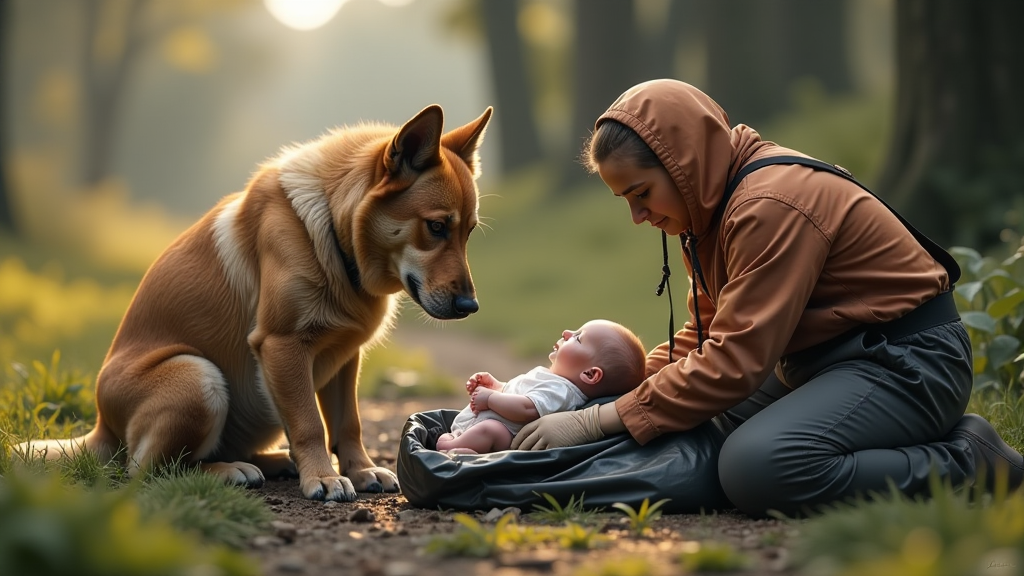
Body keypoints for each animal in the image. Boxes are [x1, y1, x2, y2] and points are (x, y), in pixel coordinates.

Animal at [18, 105, 491, 500]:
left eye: (468, 232)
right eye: (435, 227)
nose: (471, 306)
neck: (331, 232)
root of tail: (101, 428)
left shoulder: (346, 357)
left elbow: (348, 423)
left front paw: (359, 470)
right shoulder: (282, 346)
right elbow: (310, 424)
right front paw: (323, 477)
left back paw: (273, 461)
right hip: (198, 376)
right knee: (148, 470)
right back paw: (230, 471)